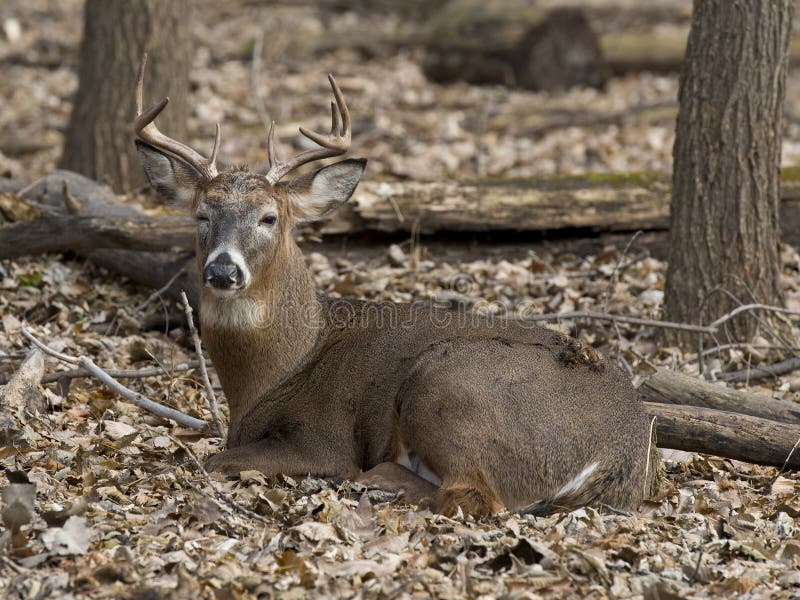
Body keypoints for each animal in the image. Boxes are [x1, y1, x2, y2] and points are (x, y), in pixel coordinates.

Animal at [133, 55, 658, 516]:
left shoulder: (324, 437)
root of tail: (620, 451)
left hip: (446, 383)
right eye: (202, 215)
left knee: (470, 496)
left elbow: (213, 458)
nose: (223, 271)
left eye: (268, 217)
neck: (280, 368)